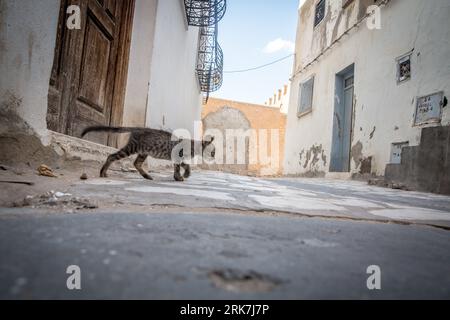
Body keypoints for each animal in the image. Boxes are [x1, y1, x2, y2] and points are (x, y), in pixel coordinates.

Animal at [81, 126, 215, 181]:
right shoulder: (178, 157)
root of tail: (139, 128)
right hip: (132, 148)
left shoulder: (177, 159)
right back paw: (103, 172)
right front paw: (181, 176)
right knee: (111, 156)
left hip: (143, 152)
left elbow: (183, 166)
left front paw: (182, 175)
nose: (214, 157)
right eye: (213, 152)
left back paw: (147, 176)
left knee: (136, 164)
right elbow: (181, 167)